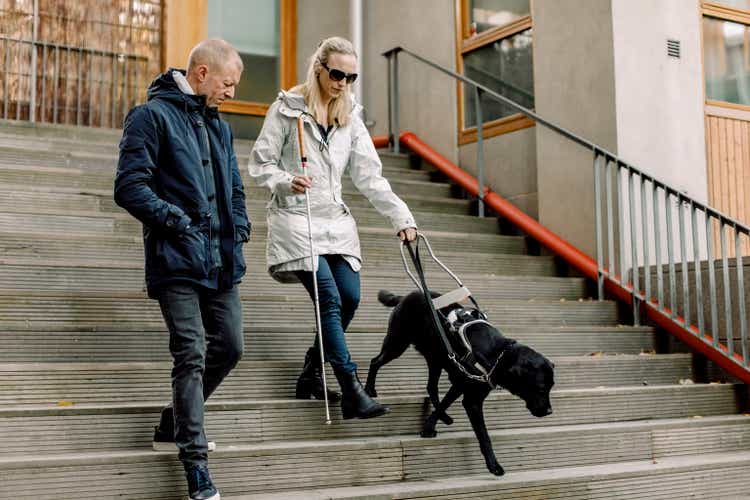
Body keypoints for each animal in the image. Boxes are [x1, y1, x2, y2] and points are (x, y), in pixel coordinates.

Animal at [368, 290, 556, 476]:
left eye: (550, 388)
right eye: (541, 389)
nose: (549, 411)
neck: (498, 354)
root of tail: (407, 295)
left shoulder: (464, 385)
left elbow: (445, 403)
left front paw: (430, 424)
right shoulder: (469, 396)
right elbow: (483, 435)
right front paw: (493, 465)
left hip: (436, 357)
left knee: (431, 387)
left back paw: (444, 417)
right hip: (398, 342)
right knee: (375, 361)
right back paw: (370, 390)